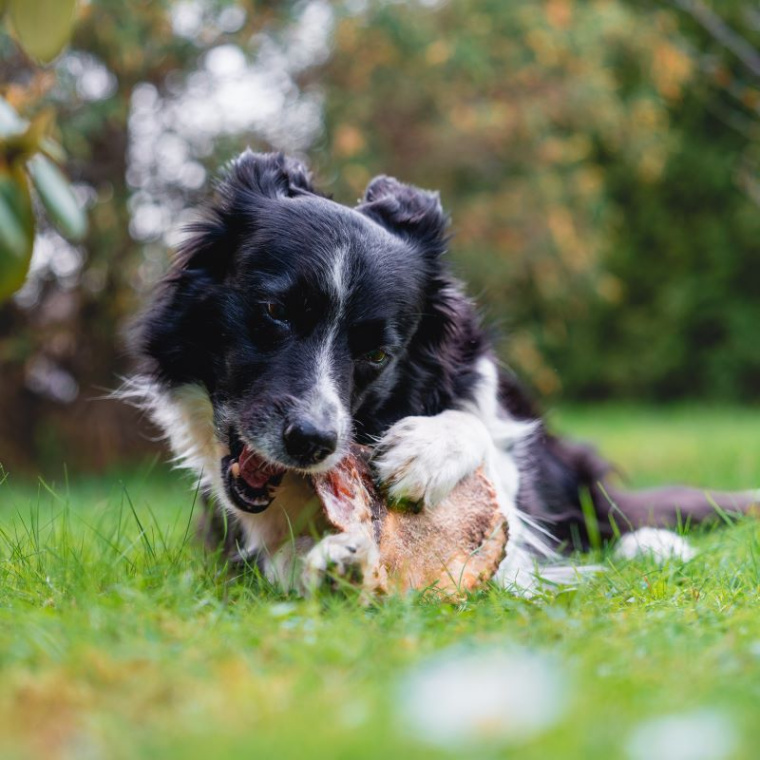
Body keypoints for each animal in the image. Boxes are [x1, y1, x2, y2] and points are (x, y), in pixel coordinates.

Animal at [126, 153, 760, 592]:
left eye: (377, 356)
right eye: (275, 312)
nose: (313, 441)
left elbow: (479, 437)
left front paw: (429, 450)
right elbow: (272, 554)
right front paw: (325, 562)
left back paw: (652, 544)